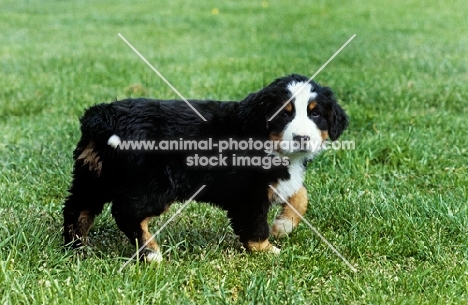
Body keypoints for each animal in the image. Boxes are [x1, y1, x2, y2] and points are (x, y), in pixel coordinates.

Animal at [63, 74, 348, 262]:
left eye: (315, 114)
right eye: (284, 114)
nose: (302, 138)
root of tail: (101, 116)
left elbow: (301, 196)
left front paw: (283, 226)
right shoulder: (249, 193)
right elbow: (255, 225)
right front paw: (268, 251)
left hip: (94, 176)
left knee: (77, 209)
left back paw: (76, 248)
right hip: (152, 186)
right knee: (126, 213)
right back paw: (151, 253)